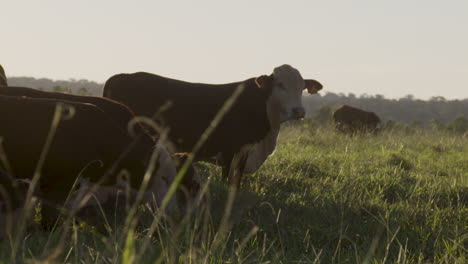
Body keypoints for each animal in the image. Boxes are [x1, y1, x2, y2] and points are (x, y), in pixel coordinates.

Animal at [102, 64, 322, 187]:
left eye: (302, 87)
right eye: (280, 85)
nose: (299, 111)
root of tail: (122, 75)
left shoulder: (244, 152)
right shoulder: (229, 151)